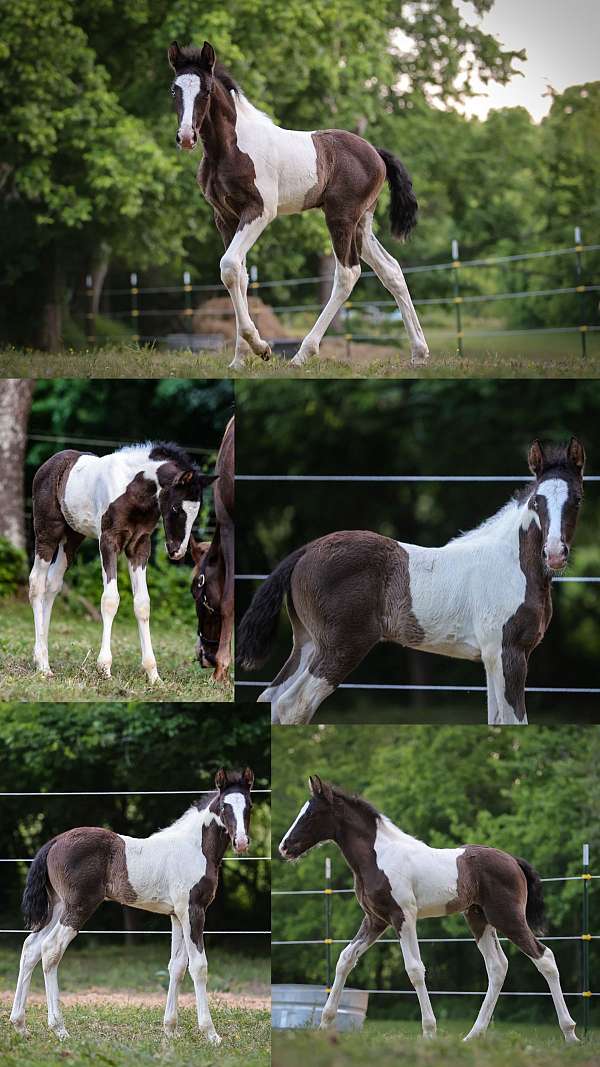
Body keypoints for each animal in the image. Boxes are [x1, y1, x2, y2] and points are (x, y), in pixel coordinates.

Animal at [10, 768, 254, 1043]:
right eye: (224, 806)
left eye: (249, 806)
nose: (241, 842)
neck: (194, 848)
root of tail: (53, 843)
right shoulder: (193, 910)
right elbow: (199, 967)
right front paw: (211, 1034)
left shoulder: (176, 915)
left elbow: (177, 967)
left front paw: (170, 1030)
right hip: (78, 906)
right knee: (51, 950)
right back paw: (59, 1028)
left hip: (58, 906)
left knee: (31, 948)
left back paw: (20, 1024)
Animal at [29, 442, 216, 684]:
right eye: (176, 508)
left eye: (196, 512)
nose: (177, 551)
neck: (134, 492)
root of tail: (49, 463)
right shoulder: (108, 541)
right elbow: (110, 600)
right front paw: (104, 668)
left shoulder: (139, 546)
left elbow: (143, 604)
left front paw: (153, 675)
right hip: (47, 532)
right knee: (37, 583)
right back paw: (43, 665)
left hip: (72, 538)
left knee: (52, 585)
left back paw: (41, 657)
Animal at [167, 41, 429, 370]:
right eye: (174, 90)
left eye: (207, 90)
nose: (186, 137)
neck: (229, 149)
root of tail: (377, 153)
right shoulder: (224, 217)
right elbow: (239, 273)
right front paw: (240, 359)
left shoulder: (260, 211)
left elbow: (228, 266)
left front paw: (262, 348)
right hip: (361, 224)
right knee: (391, 270)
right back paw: (419, 353)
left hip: (341, 217)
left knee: (347, 274)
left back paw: (302, 354)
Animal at [237, 437, 585, 725]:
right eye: (537, 501)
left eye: (578, 499)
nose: (555, 553)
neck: (511, 562)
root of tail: (306, 550)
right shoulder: (508, 651)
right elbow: (515, 722)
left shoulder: (491, 657)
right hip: (341, 646)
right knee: (292, 705)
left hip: (309, 642)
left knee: (271, 698)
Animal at [280, 775, 578, 1044]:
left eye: (311, 814)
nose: (284, 847)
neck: (379, 856)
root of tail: (513, 861)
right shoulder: (375, 920)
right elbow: (345, 959)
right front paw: (324, 1025)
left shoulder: (403, 916)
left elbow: (414, 969)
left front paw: (429, 1032)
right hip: (479, 919)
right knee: (497, 967)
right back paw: (473, 1035)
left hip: (508, 917)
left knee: (545, 958)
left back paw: (570, 1034)